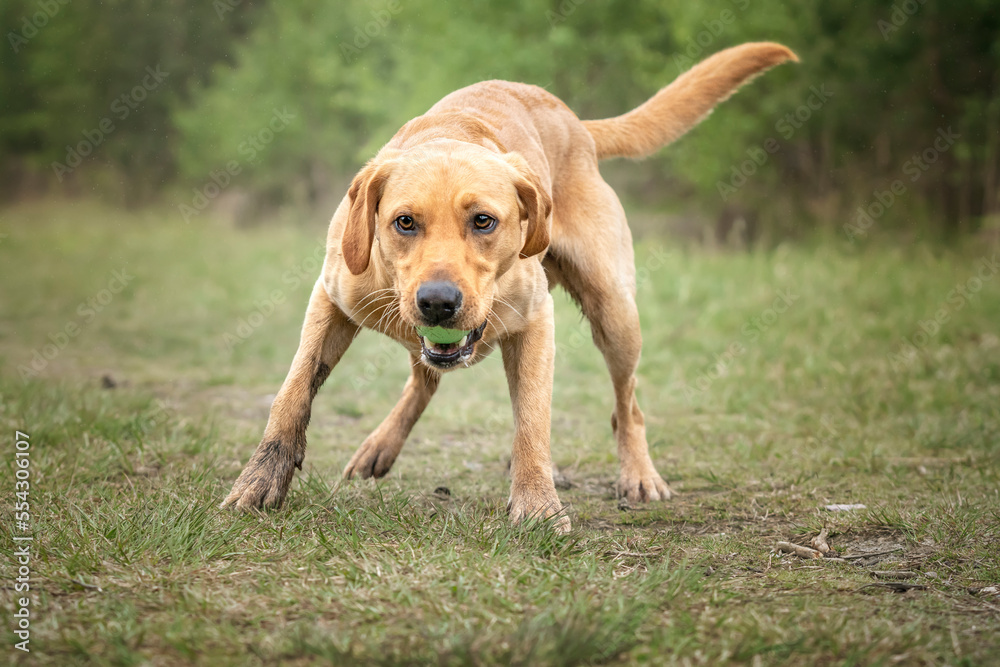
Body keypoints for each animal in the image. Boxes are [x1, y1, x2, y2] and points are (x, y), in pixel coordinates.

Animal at [223, 41, 800, 532]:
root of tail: (575, 122)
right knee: (424, 380)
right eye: (404, 222)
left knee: (627, 405)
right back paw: (380, 445)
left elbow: (532, 422)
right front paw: (262, 478)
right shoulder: (331, 299)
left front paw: (538, 506)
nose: (438, 302)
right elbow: (293, 391)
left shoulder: (535, 324)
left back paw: (639, 474)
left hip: (616, 314)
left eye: (484, 221)